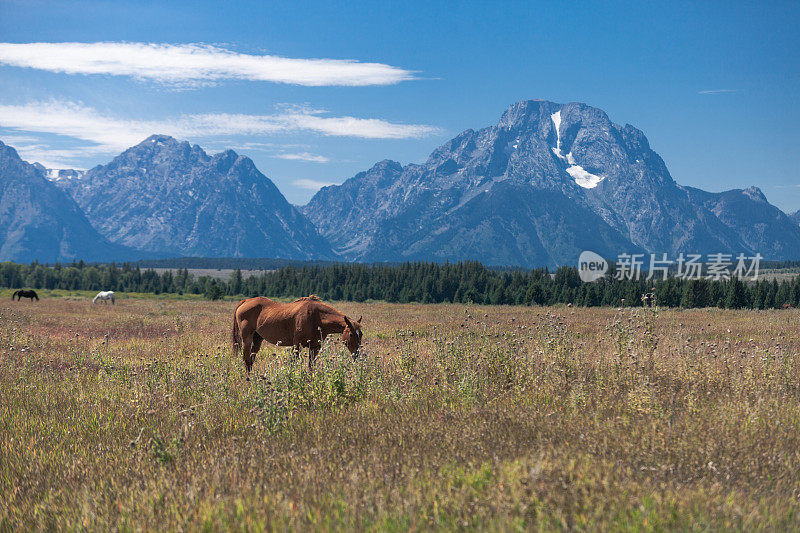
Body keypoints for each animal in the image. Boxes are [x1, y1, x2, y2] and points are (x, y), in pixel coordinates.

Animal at [230, 296, 364, 374]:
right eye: (351, 334)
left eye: (361, 334)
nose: (357, 354)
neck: (316, 317)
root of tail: (245, 301)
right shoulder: (297, 345)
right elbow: (293, 364)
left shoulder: (315, 347)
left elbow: (311, 366)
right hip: (247, 338)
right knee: (246, 359)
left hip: (258, 339)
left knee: (251, 359)